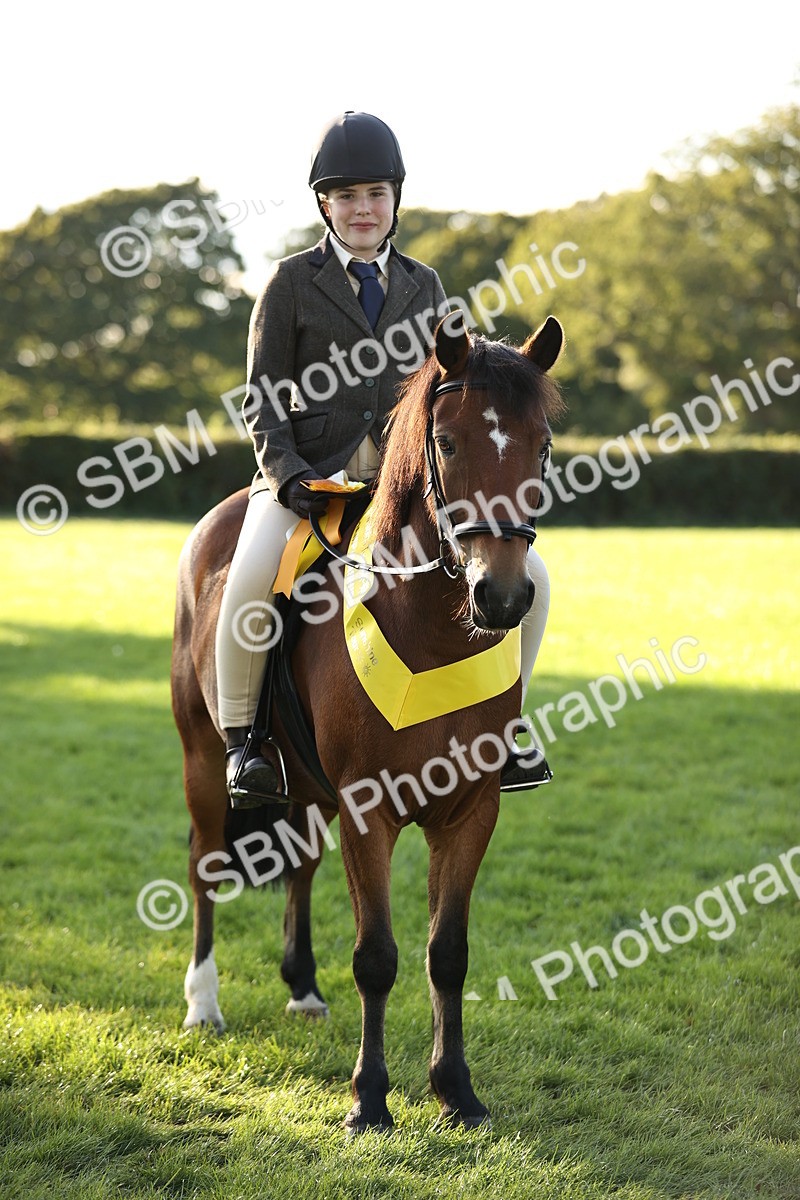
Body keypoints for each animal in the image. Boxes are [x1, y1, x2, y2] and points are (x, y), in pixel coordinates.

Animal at [170, 311, 565, 1133]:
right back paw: (203, 1004)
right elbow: (377, 956)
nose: (502, 597)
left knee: (299, 863)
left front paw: (456, 1091)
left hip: (308, 787)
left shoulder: (470, 810)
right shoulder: (368, 807)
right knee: (206, 863)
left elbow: (448, 952)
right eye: (448, 442)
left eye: (542, 444)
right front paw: (370, 1100)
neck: (434, 626)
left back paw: (302, 989)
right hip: (202, 759)